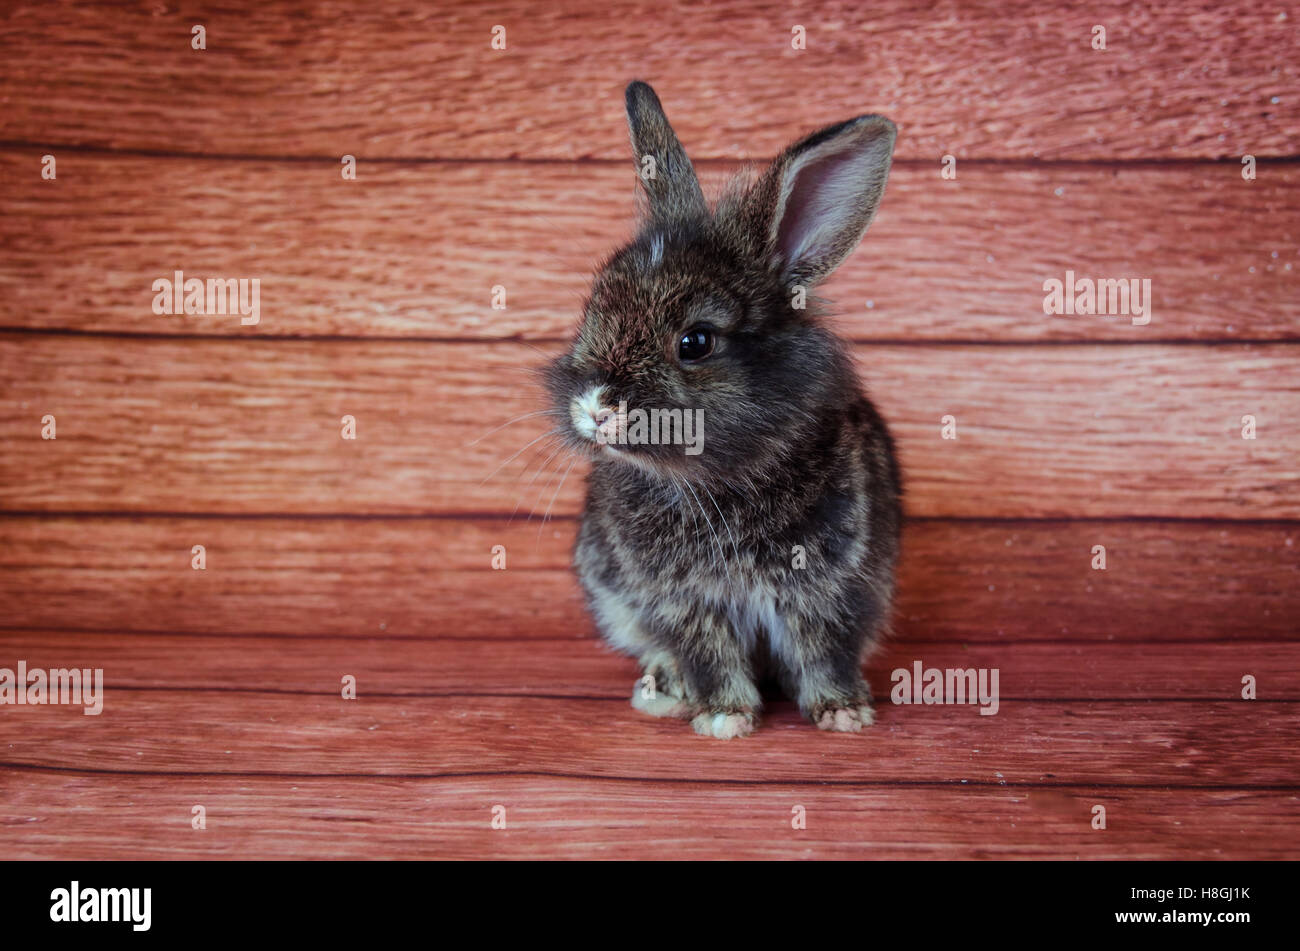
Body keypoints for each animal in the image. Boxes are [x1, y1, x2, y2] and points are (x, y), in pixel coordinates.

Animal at [544, 81, 902, 738]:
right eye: (591, 312)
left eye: (696, 342)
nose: (596, 409)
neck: (721, 478)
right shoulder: (685, 603)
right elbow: (710, 654)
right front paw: (725, 719)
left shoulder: (831, 589)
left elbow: (824, 650)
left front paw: (844, 713)